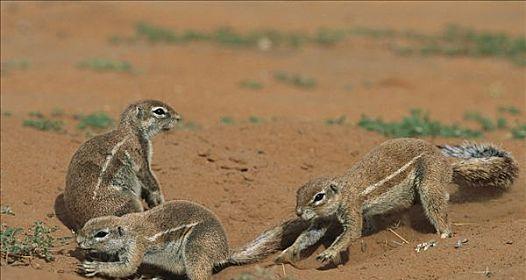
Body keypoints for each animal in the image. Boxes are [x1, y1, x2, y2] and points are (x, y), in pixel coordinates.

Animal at [64, 100, 182, 230]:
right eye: (159, 111)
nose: (178, 118)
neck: (131, 131)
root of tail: (82, 225)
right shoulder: (138, 154)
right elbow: (148, 178)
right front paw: (159, 201)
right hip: (130, 201)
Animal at [76, 200, 308, 278]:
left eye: (101, 234)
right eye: (86, 224)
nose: (78, 241)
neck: (129, 227)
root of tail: (224, 252)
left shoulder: (137, 246)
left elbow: (126, 268)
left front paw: (94, 266)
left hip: (196, 248)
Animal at [276, 139, 520, 266]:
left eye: (319, 196)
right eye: (298, 193)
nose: (299, 213)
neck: (343, 192)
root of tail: (447, 164)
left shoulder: (351, 208)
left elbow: (350, 233)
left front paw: (329, 252)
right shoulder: (322, 220)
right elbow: (309, 235)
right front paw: (287, 252)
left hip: (429, 182)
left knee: (439, 207)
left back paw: (442, 235)